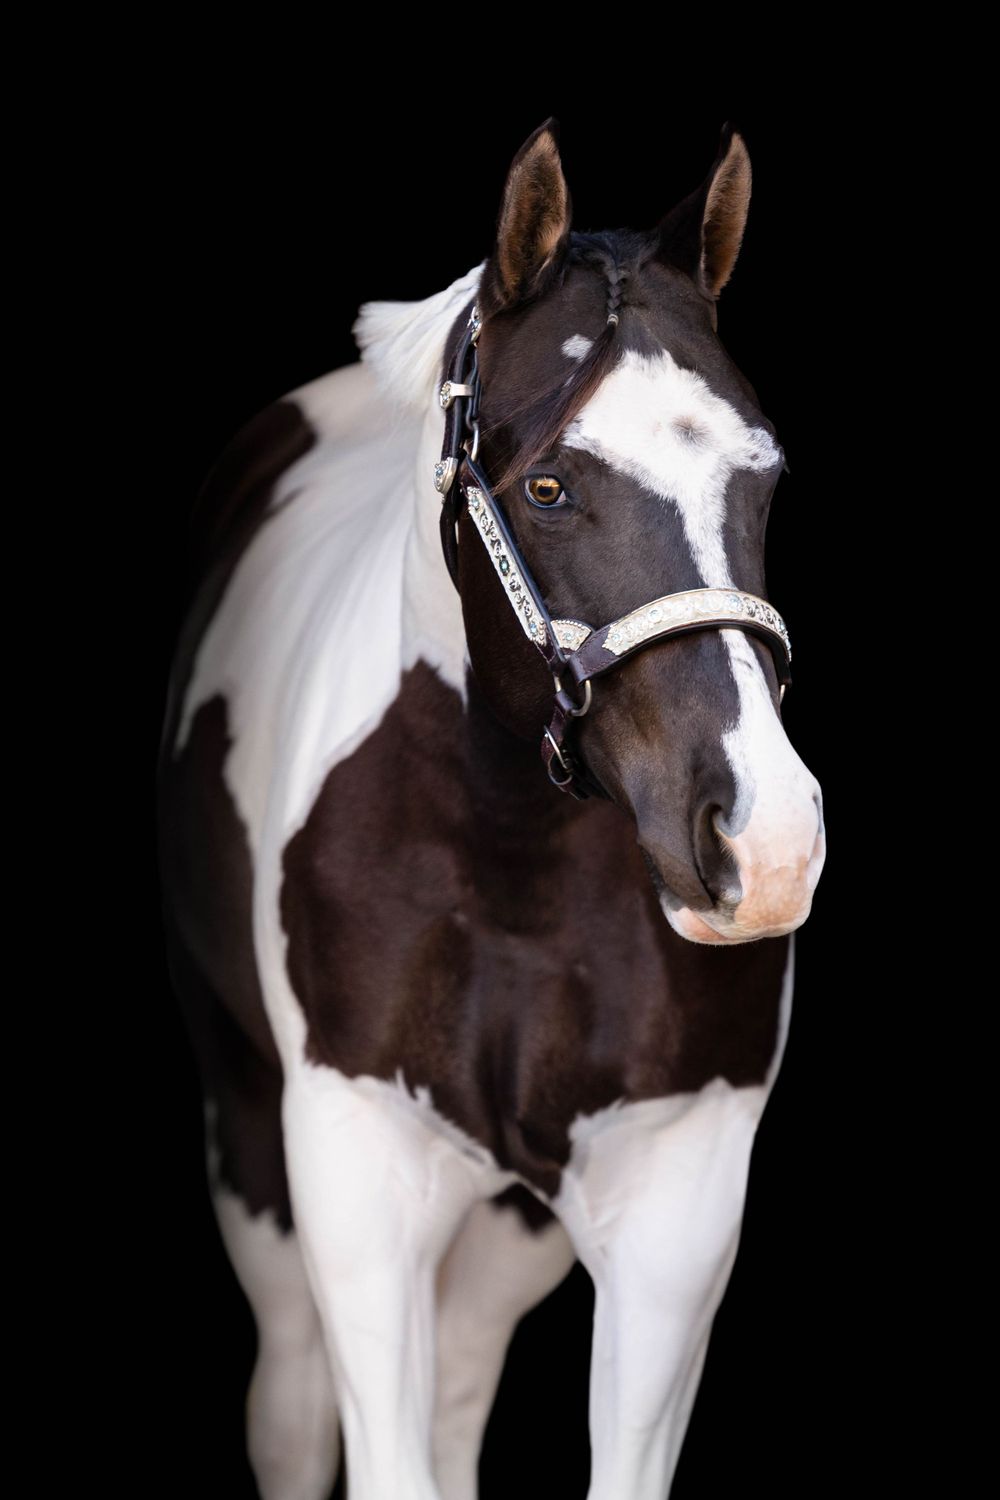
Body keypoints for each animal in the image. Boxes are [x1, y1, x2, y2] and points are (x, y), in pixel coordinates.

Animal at [156, 115, 826, 1500]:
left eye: (768, 476)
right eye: (551, 486)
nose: (767, 842)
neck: (511, 861)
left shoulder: (677, 1197)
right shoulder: (357, 1181)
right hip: (255, 1151)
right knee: (290, 1408)